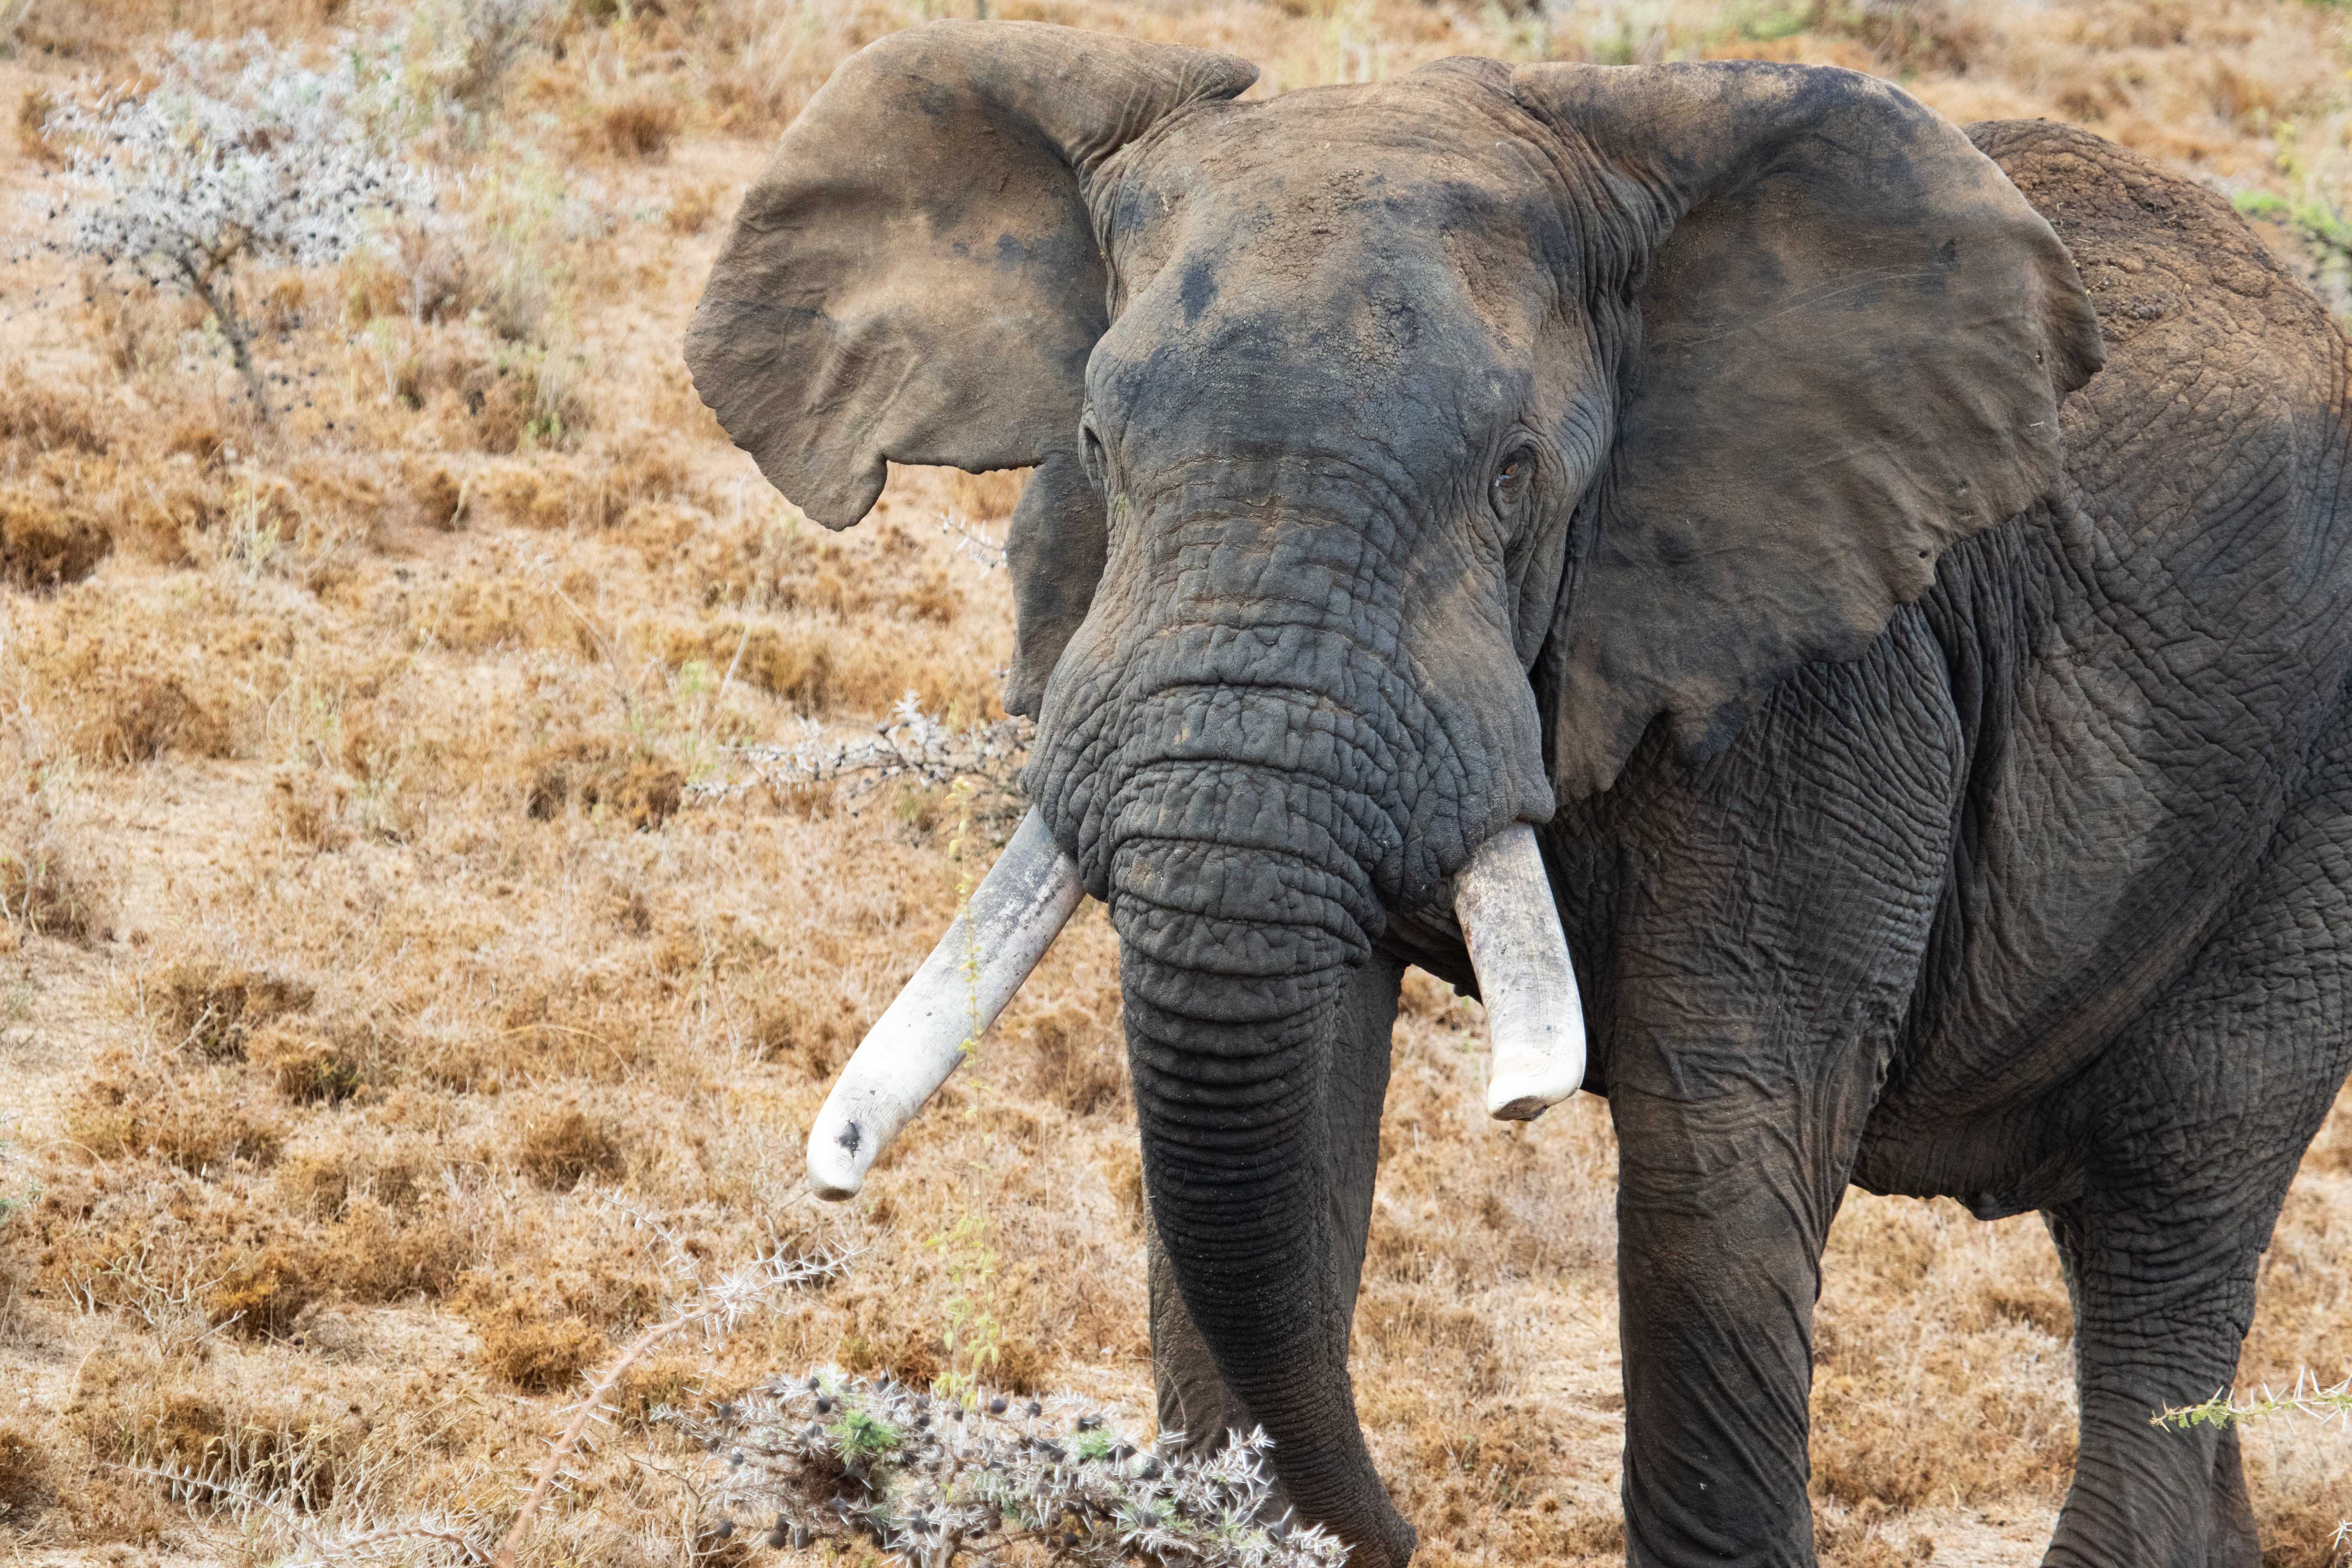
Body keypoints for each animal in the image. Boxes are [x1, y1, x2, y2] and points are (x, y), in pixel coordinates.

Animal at [682, 24, 2352, 1568]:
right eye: (1094, 441)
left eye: (1512, 476)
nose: (1405, 1532)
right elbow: (1308, 1085)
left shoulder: (1821, 682)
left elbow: (1716, 1154)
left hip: (2308, 825)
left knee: (2176, 1216)